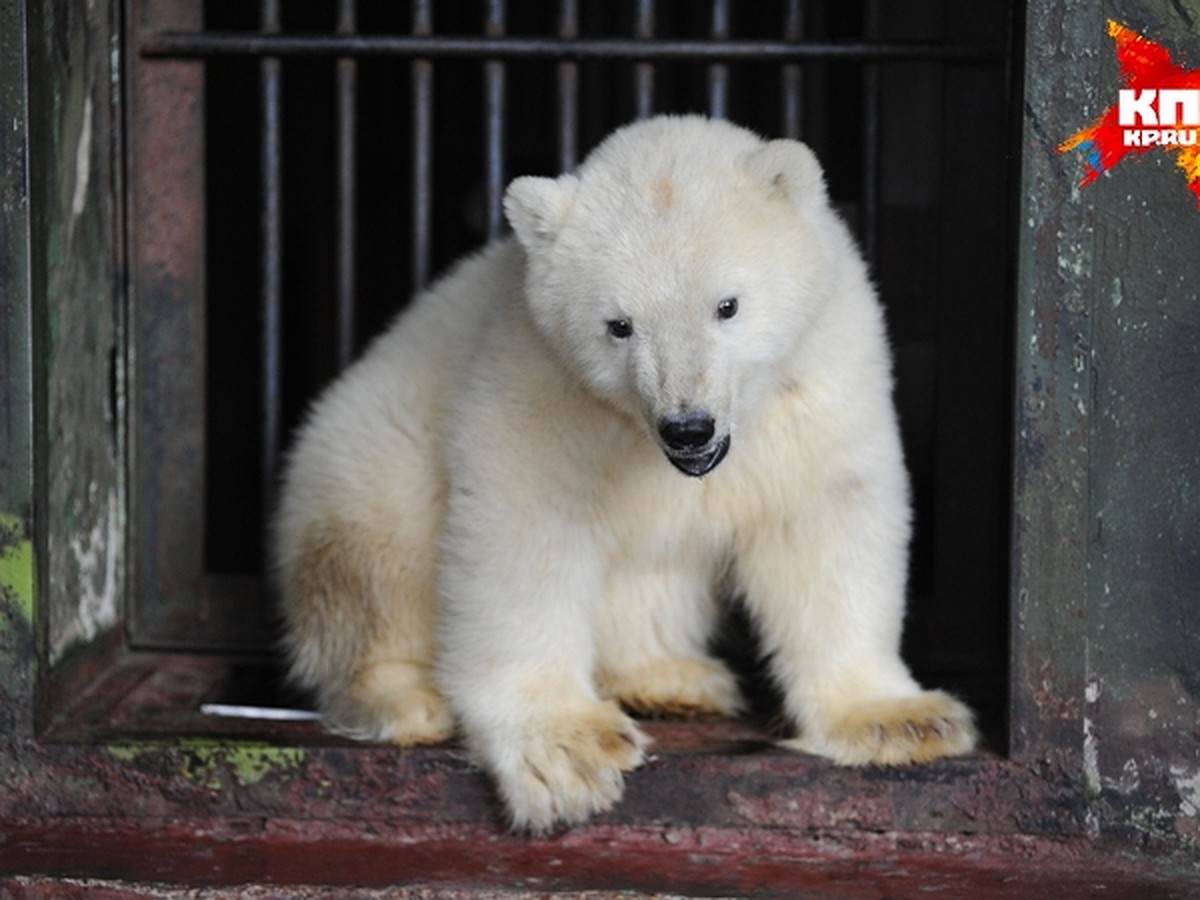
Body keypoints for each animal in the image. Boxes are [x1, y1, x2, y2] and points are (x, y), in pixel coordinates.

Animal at [276, 116, 979, 835]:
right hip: (367, 456)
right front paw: (566, 752)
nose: (688, 427)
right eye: (618, 326)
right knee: (373, 569)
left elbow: (825, 523)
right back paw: (408, 698)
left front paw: (897, 720)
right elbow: (523, 536)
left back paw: (671, 677)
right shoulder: (540, 381)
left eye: (727, 305)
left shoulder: (817, 381)